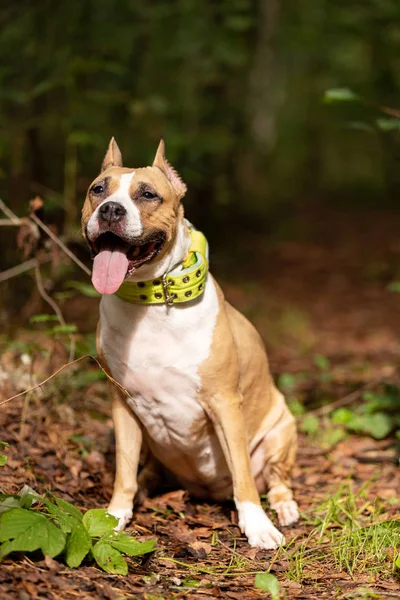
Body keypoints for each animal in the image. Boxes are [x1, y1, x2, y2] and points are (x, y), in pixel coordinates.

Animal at [81, 139, 298, 548]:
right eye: (98, 189)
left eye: (148, 194)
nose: (111, 209)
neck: (151, 303)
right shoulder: (122, 404)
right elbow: (124, 472)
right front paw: (115, 516)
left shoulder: (224, 403)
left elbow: (244, 476)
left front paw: (257, 525)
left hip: (282, 429)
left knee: (275, 481)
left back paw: (284, 507)